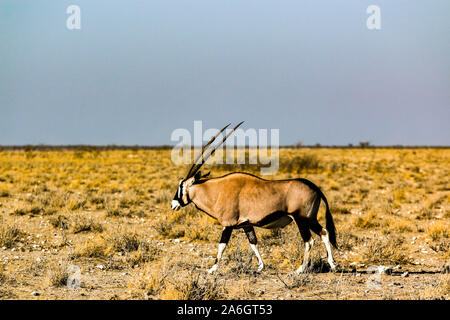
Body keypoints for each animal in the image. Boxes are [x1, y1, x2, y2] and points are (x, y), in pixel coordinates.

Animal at [172, 123, 338, 276]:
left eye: (181, 186)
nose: (173, 204)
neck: (217, 190)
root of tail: (315, 187)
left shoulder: (228, 224)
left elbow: (222, 245)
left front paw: (211, 269)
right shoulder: (246, 224)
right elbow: (254, 243)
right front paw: (260, 267)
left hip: (301, 219)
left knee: (309, 241)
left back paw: (299, 270)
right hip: (310, 218)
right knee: (324, 233)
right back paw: (332, 264)